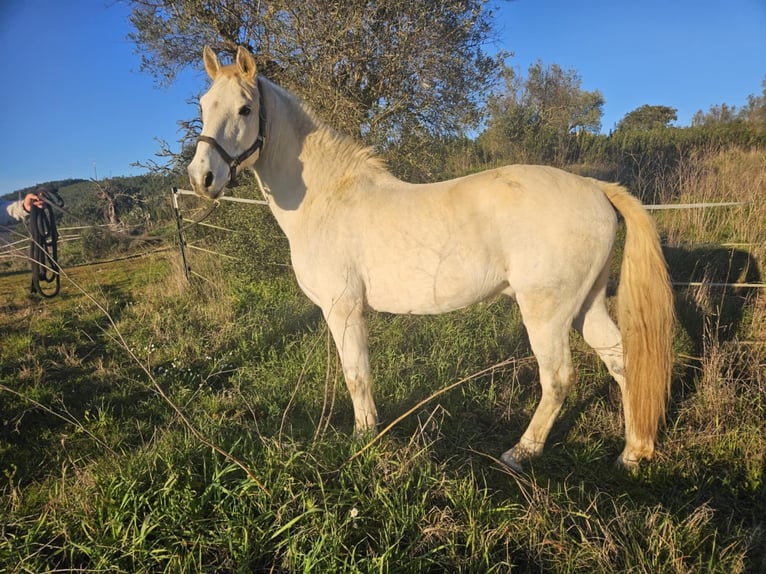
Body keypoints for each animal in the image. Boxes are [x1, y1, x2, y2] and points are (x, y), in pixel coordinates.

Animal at [189, 47, 676, 470]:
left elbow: (356, 376)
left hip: (547, 312)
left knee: (557, 378)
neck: (328, 199)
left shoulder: (344, 309)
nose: (202, 177)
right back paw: (632, 454)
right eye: (204, 104)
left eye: (245, 109)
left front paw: (363, 440)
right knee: (622, 361)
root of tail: (595, 188)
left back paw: (520, 453)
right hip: (586, 304)